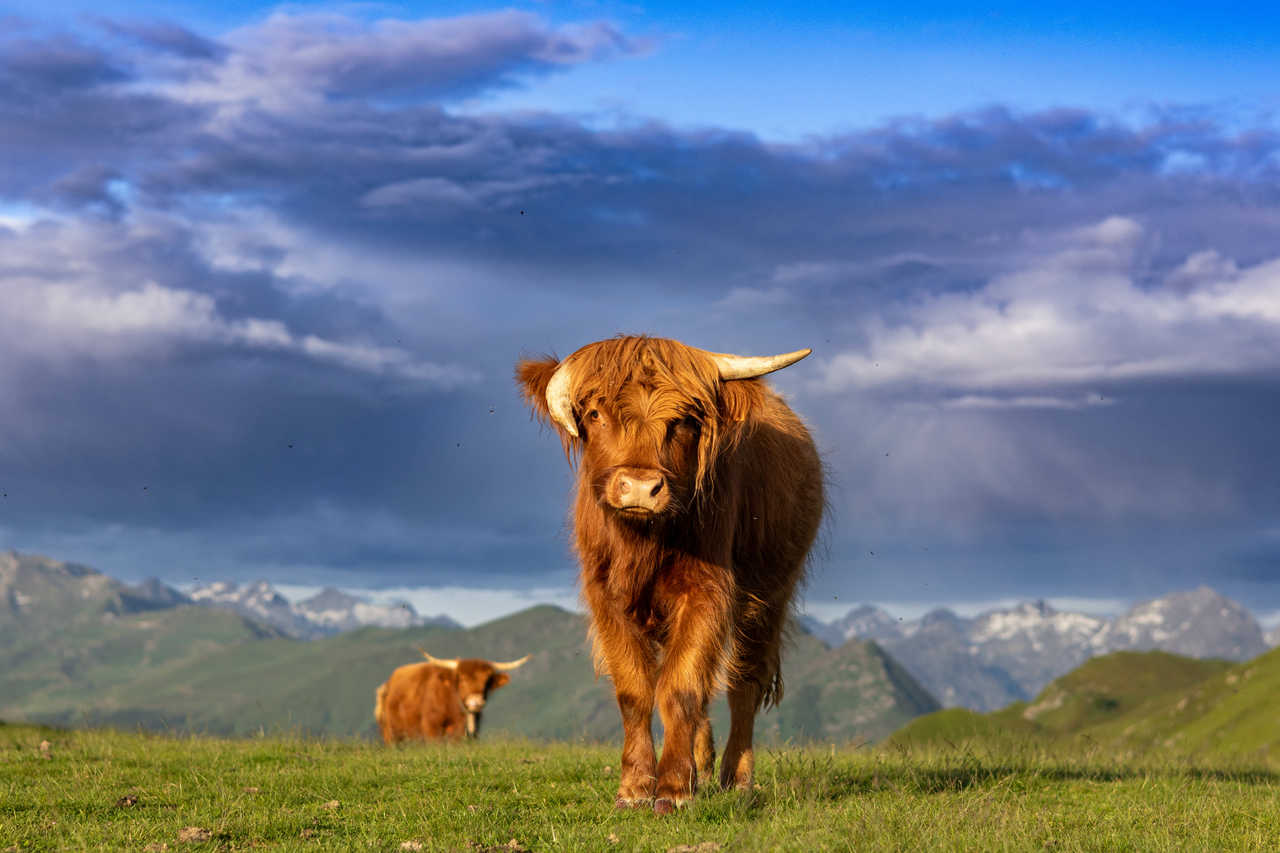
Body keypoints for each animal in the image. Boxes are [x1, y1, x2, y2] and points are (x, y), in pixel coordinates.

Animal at [517, 333, 824, 809]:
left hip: (768, 597)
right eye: (595, 414)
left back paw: (736, 779)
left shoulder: (706, 590)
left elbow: (681, 687)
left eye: (683, 421)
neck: (644, 542)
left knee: (743, 683)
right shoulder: (605, 596)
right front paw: (635, 787)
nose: (641, 488)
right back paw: (703, 764)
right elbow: (636, 691)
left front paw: (676, 788)